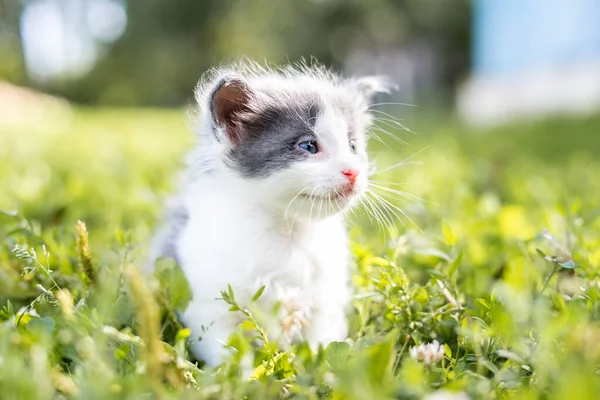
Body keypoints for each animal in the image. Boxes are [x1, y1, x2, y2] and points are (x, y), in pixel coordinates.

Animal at [148, 61, 392, 366]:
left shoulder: (325, 306)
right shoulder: (210, 310)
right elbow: (230, 357)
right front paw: (240, 377)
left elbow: (322, 347)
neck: (289, 232)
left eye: (353, 146)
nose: (353, 171)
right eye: (308, 146)